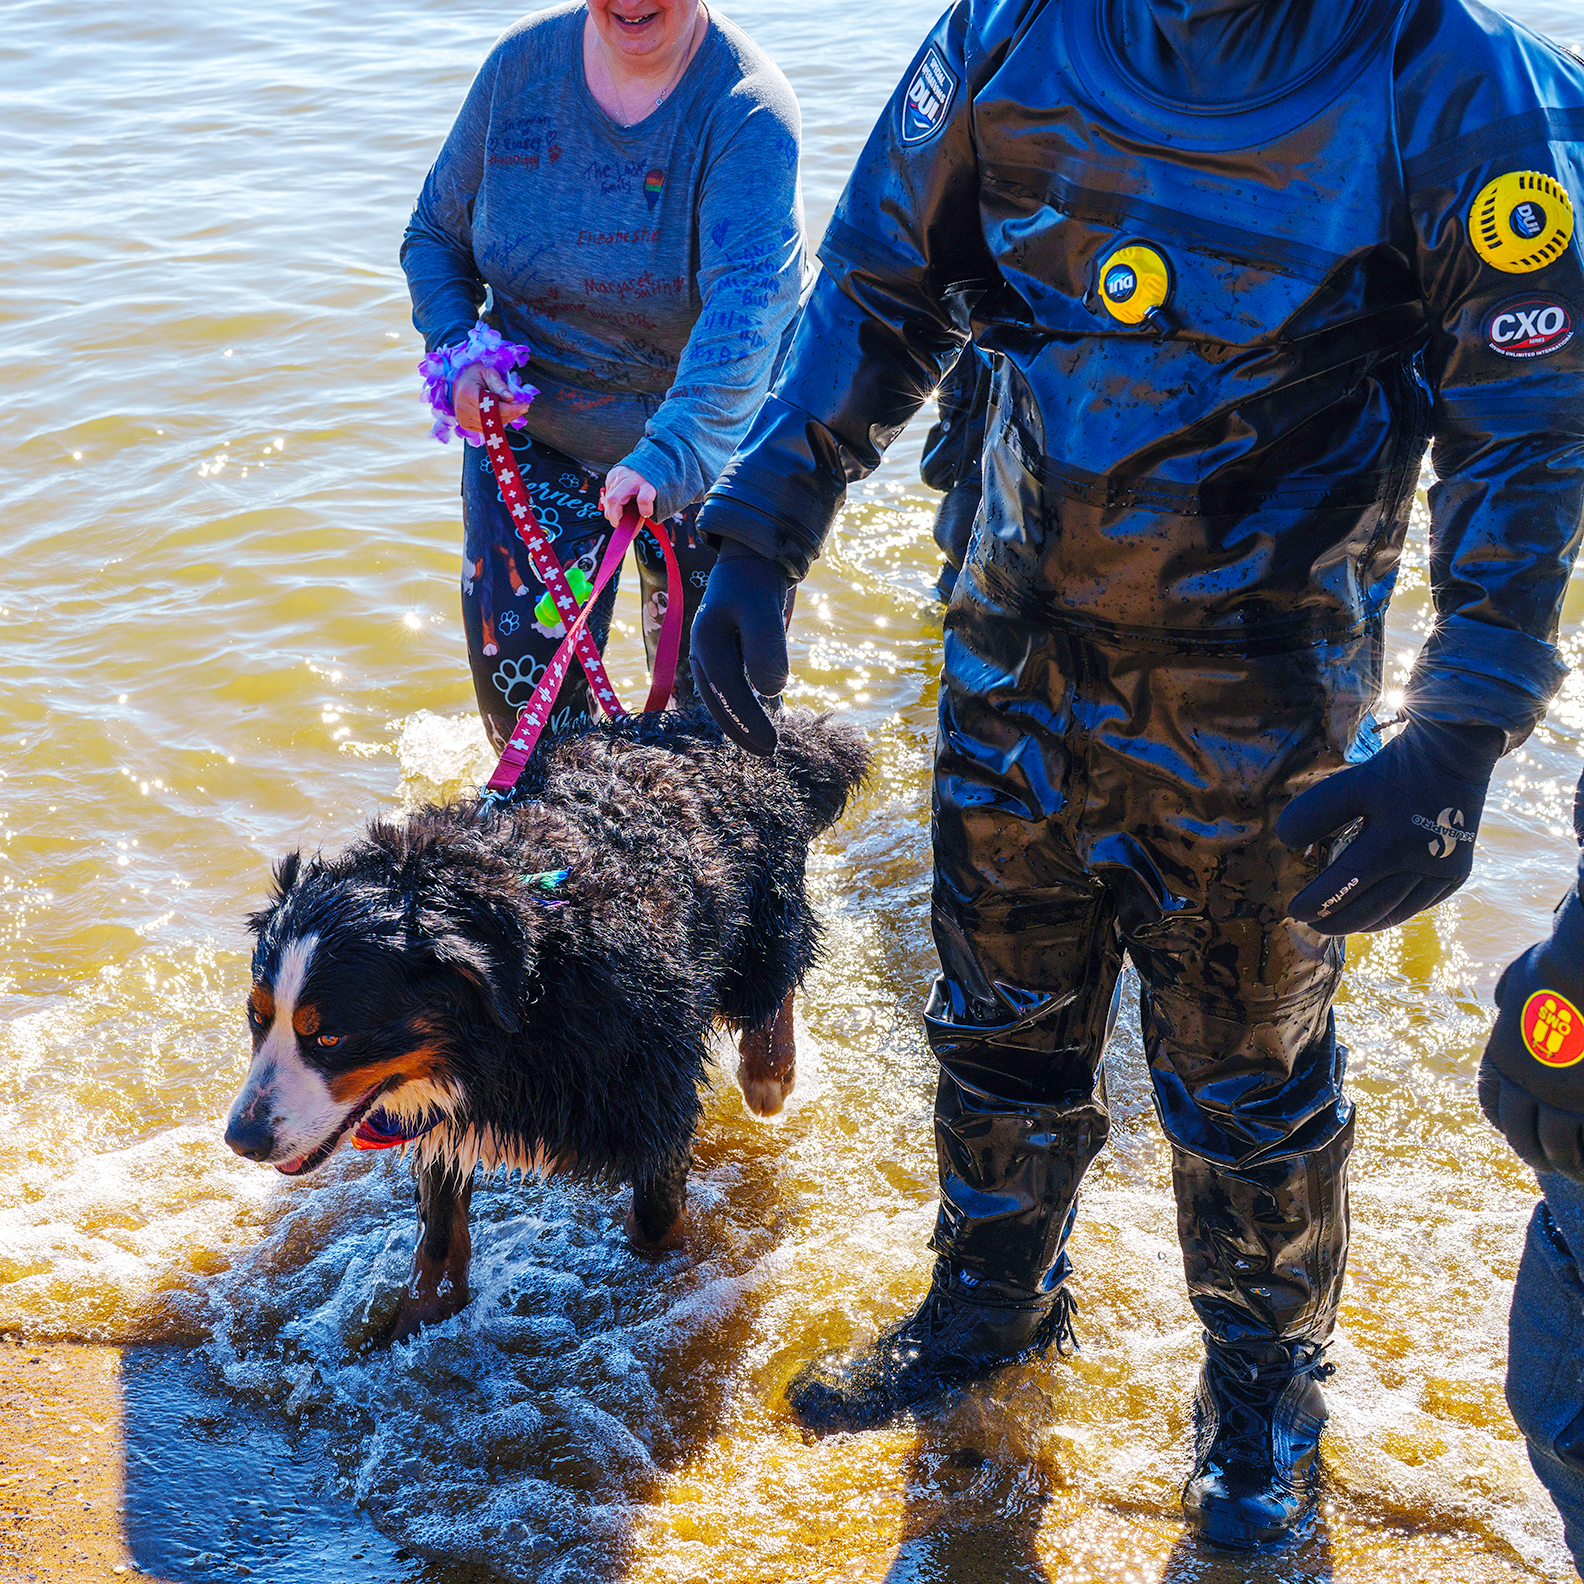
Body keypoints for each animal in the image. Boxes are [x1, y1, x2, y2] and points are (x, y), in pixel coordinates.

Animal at [220, 712, 868, 1343]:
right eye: (258, 1019)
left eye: (329, 1037)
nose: (241, 1141)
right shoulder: (446, 1117)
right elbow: (439, 1245)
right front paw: (415, 1326)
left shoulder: (651, 1093)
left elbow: (655, 1226)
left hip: (760, 914)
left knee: (774, 979)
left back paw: (768, 1071)